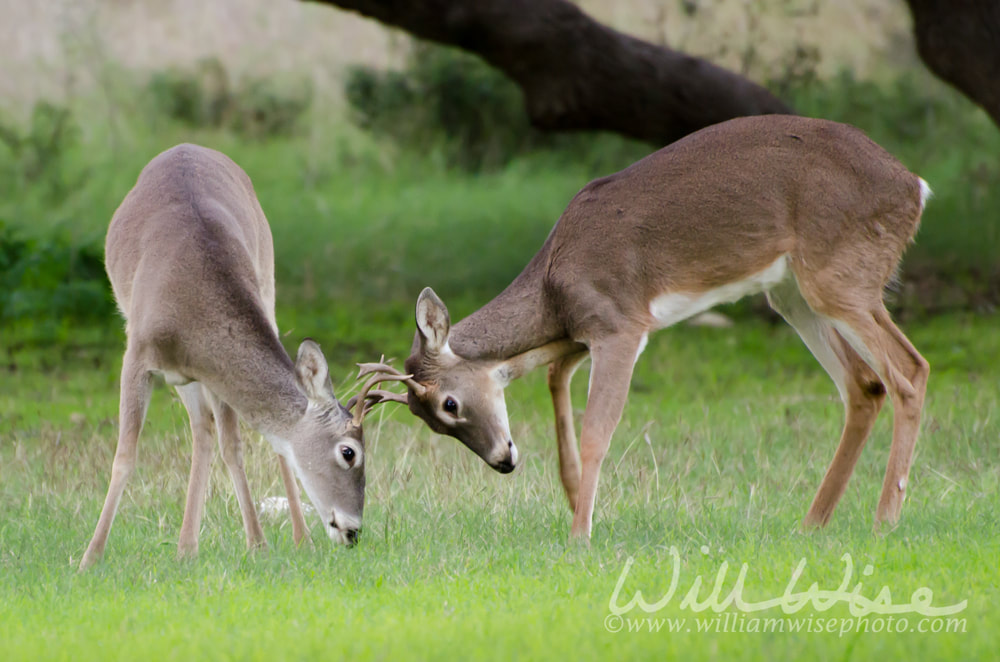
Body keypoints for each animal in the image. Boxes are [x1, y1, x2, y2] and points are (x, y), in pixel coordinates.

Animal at [372, 113, 932, 540]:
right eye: (427, 420)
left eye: (449, 404)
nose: (502, 461)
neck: (554, 286)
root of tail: (916, 187)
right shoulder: (579, 333)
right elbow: (556, 384)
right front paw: (572, 496)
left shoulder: (620, 322)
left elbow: (598, 430)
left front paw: (580, 534)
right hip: (793, 292)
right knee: (865, 385)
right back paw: (812, 523)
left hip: (840, 275)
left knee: (909, 370)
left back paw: (885, 519)